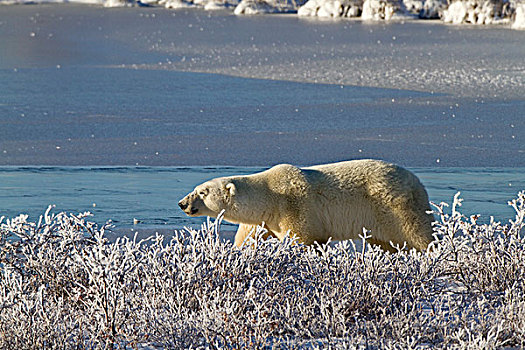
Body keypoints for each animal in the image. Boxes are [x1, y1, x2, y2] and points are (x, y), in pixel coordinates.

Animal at [178, 159, 432, 252]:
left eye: (202, 192)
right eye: (197, 188)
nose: (182, 203)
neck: (270, 195)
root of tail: (417, 182)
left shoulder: (295, 207)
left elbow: (302, 238)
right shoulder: (265, 219)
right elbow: (249, 237)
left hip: (394, 207)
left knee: (418, 233)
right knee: (388, 243)